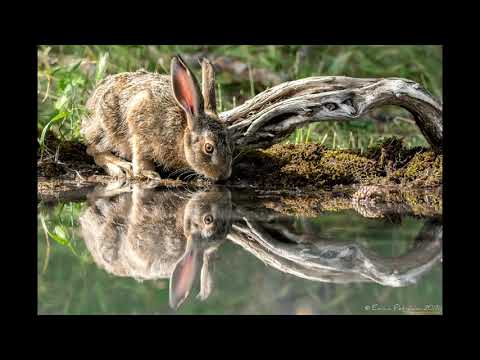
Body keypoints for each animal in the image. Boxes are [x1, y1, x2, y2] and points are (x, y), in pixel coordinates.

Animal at [80, 55, 232, 181]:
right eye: (208, 148)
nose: (223, 175)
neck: (181, 131)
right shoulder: (139, 119)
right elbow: (141, 154)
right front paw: (147, 173)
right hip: (107, 131)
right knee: (93, 150)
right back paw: (120, 166)